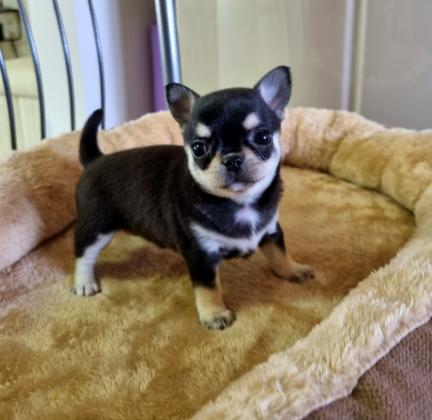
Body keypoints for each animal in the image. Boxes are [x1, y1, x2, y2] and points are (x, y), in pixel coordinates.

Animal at [72, 66, 314, 330]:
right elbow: (208, 288)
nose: (232, 159)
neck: (240, 203)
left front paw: (292, 270)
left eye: (263, 137)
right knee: (84, 254)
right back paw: (84, 283)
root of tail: (95, 160)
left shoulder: (271, 231)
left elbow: (279, 253)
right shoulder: (201, 254)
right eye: (199, 148)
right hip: (97, 228)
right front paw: (214, 314)